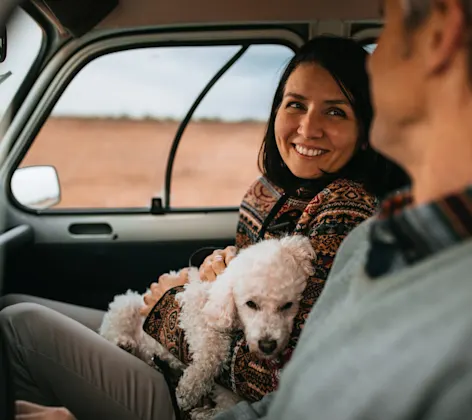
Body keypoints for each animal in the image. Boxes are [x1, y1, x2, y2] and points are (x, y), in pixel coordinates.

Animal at [98, 235, 316, 418]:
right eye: (251, 304)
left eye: (288, 305)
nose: (268, 346)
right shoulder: (193, 305)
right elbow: (213, 349)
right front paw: (190, 387)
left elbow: (228, 395)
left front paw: (200, 401)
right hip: (126, 306)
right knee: (110, 330)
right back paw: (123, 342)